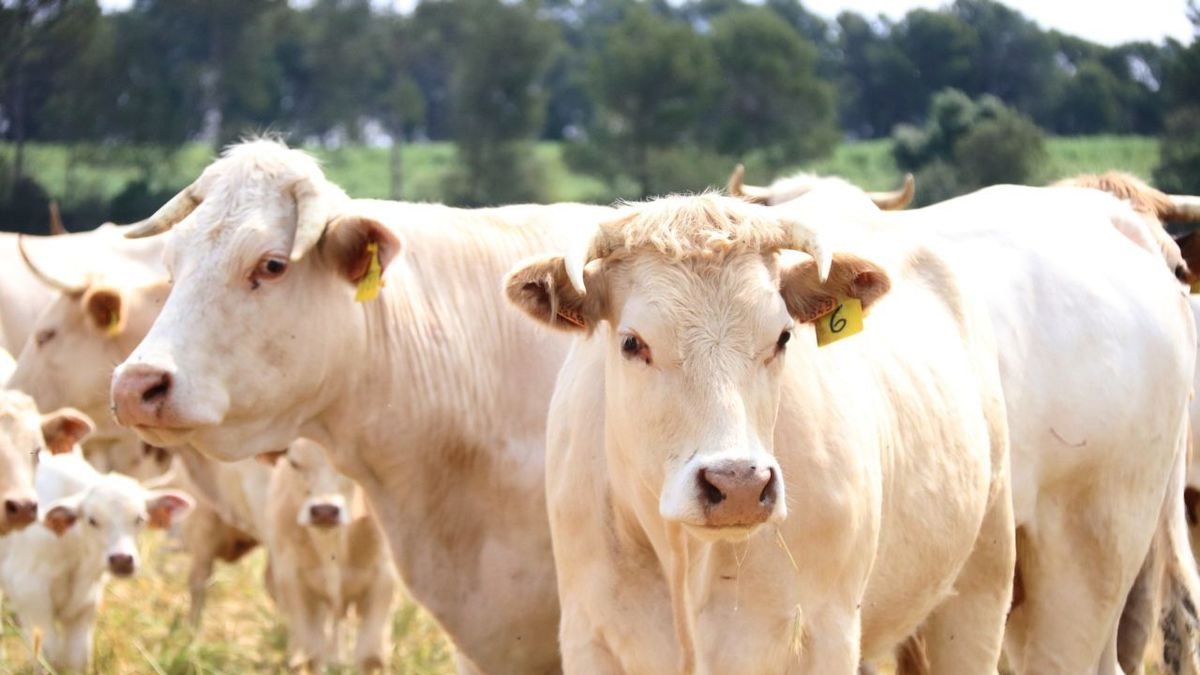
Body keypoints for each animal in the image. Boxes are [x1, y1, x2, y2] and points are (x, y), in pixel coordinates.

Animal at [0, 428, 194, 672]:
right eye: (92, 520)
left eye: (139, 518)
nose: (121, 559)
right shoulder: (31, 598)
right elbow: (48, 656)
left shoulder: (85, 606)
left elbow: (76, 658)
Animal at [263, 439, 396, 672]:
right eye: (294, 463)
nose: (324, 511)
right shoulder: (293, 582)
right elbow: (309, 655)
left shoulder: (384, 580)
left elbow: (371, 656)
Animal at [503, 192, 1014, 673]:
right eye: (632, 342)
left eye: (783, 337)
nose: (739, 484)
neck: (687, 561)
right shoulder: (587, 635)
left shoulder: (827, 634)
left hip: (982, 586)